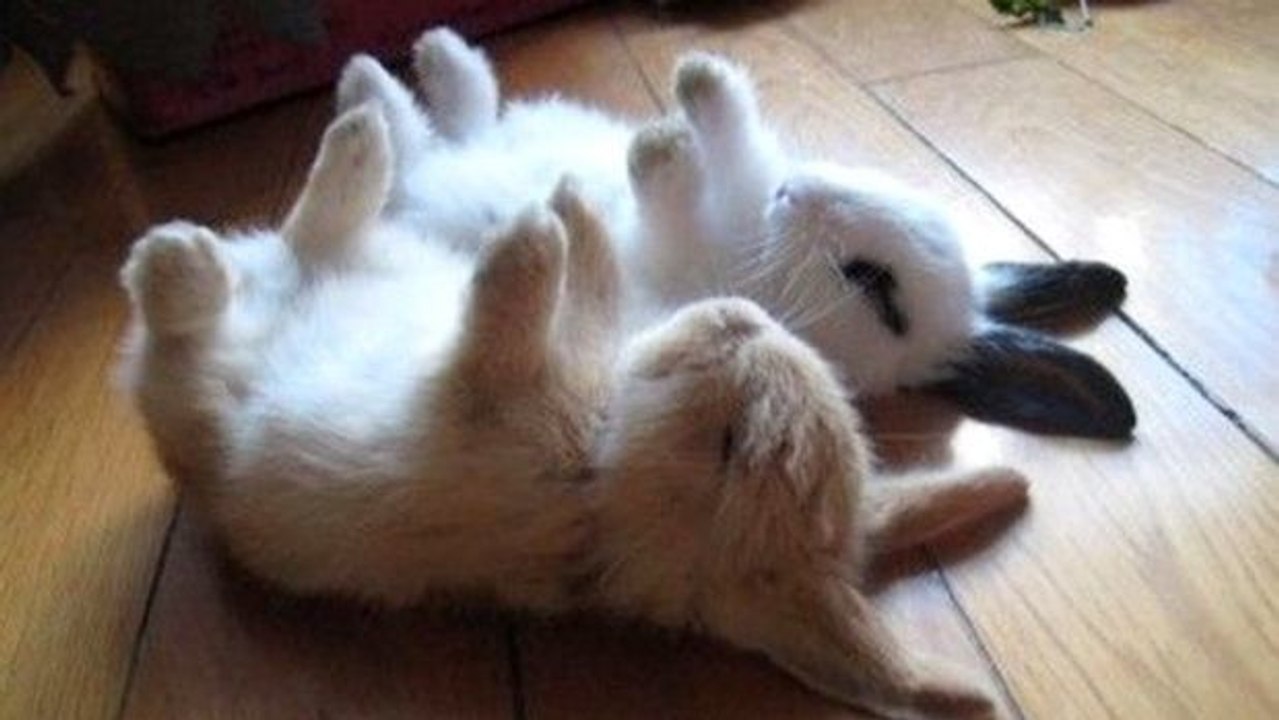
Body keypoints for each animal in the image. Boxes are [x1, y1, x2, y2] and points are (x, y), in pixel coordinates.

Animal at [120, 100, 1030, 718]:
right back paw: (357, 138)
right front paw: (567, 207)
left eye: (733, 444)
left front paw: (528, 240)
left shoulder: (480, 409)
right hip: (365, 263)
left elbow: (496, 334)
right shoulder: (588, 340)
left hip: (204, 379)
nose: (732, 318)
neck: (602, 461)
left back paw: (176, 256)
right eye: (798, 359)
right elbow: (591, 286)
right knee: (312, 240)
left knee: (197, 311)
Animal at [335, 28, 1135, 439]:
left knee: (409, 148)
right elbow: (733, 136)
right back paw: (420, 57)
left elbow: (672, 205)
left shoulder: (674, 267)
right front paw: (697, 81)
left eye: (874, 285)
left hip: (415, 187)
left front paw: (660, 149)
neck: (757, 244)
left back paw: (376, 86)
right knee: (454, 120)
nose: (799, 191)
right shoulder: (746, 181)